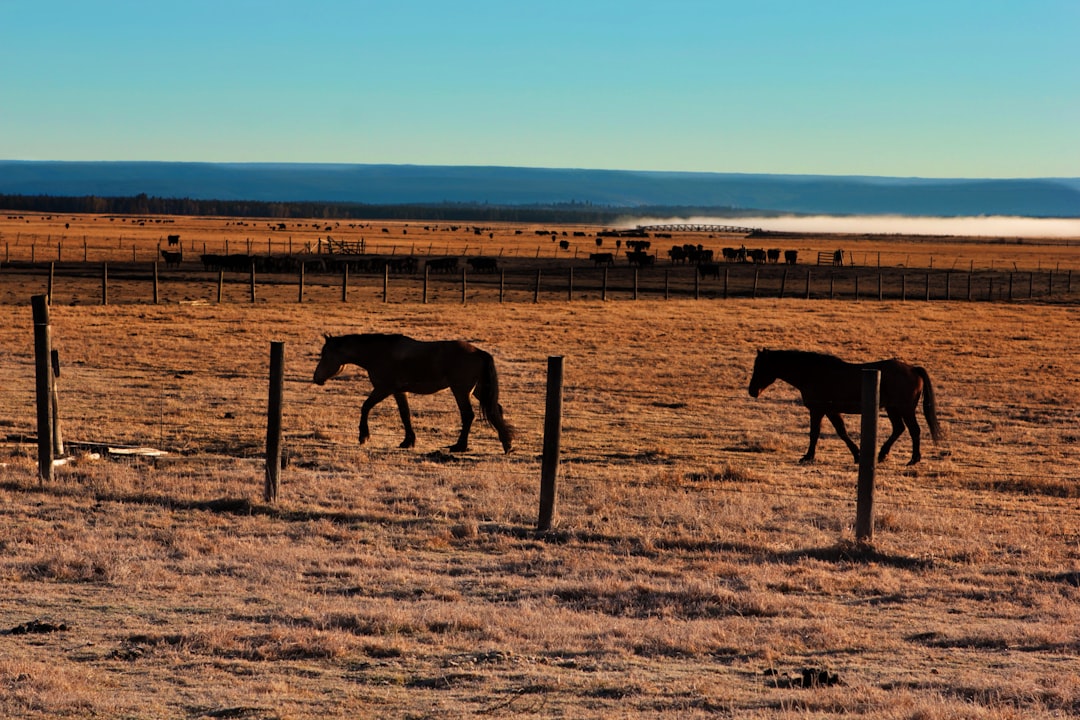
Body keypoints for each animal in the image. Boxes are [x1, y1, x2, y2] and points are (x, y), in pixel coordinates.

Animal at [313, 333, 514, 453]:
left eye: (325, 354)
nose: (316, 378)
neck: (379, 352)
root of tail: (479, 352)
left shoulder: (383, 389)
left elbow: (365, 407)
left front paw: (364, 436)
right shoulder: (399, 392)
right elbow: (405, 415)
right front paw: (408, 441)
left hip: (461, 391)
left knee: (468, 415)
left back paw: (460, 446)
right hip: (478, 390)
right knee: (496, 410)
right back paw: (506, 444)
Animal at [748, 349, 941, 465]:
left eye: (760, 367)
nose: (752, 391)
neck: (812, 373)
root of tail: (913, 369)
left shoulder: (819, 410)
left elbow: (815, 433)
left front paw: (808, 457)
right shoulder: (831, 411)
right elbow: (842, 432)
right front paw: (857, 455)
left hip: (905, 409)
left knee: (914, 430)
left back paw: (913, 459)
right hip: (892, 409)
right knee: (899, 429)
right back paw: (882, 455)